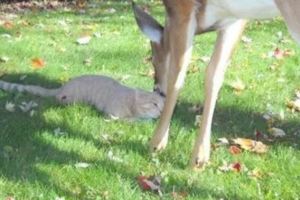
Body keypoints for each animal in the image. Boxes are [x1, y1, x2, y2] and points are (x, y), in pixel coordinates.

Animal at [0, 74, 164, 119]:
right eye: (154, 104)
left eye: (163, 106)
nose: (162, 112)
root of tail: (64, 86)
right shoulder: (112, 116)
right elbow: (134, 120)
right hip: (73, 99)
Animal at [133, 0, 300, 169]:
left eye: (153, 59)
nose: (156, 89)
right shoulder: (235, 20)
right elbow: (214, 75)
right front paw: (200, 157)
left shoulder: (181, 9)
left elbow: (177, 76)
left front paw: (157, 143)